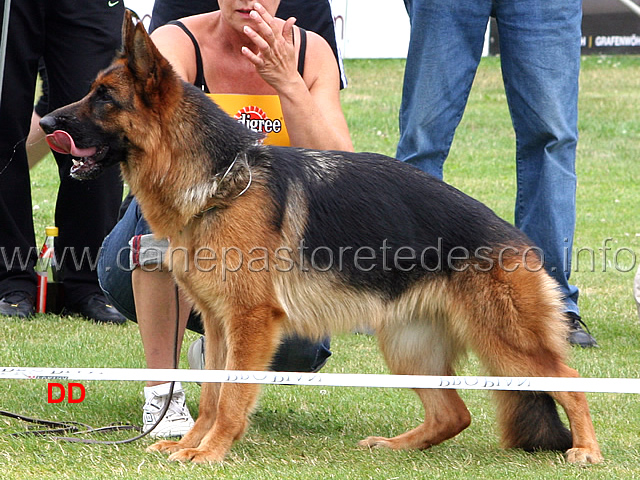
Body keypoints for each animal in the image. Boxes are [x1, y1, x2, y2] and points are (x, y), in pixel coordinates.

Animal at [38, 12, 600, 464]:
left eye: (105, 99)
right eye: (92, 91)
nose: (43, 121)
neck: (221, 182)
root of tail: (517, 239)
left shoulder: (250, 323)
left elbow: (232, 398)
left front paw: (211, 452)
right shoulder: (220, 325)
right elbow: (213, 392)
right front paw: (191, 444)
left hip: (504, 340)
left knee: (570, 382)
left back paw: (586, 451)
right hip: (407, 346)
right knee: (453, 413)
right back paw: (395, 446)